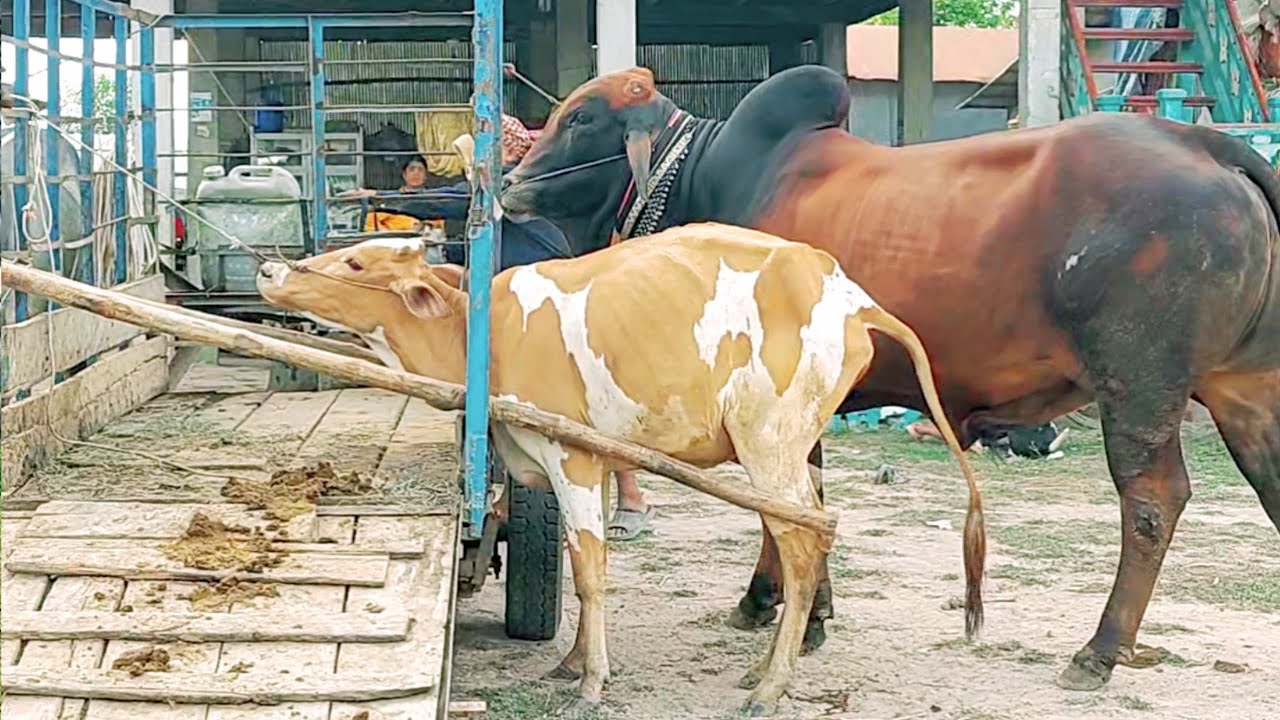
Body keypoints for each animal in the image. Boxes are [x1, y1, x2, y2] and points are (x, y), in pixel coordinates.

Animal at [253, 224, 987, 715]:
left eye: (355, 259)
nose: (270, 271)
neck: (484, 335)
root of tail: (848, 292)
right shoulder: (597, 457)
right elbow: (586, 567)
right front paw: (575, 659)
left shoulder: (572, 458)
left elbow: (590, 573)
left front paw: (591, 682)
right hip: (788, 453)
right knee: (804, 534)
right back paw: (765, 666)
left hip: (770, 445)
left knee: (803, 545)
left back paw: (772, 687)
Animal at [499, 64, 1280, 693]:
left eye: (582, 119)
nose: (507, 183)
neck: (717, 173)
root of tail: (1209, 145)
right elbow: (798, 503)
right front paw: (787, 605)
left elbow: (789, 506)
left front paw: (791, 613)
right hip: (1244, 391)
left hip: (1140, 387)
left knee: (1152, 503)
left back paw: (1100, 650)